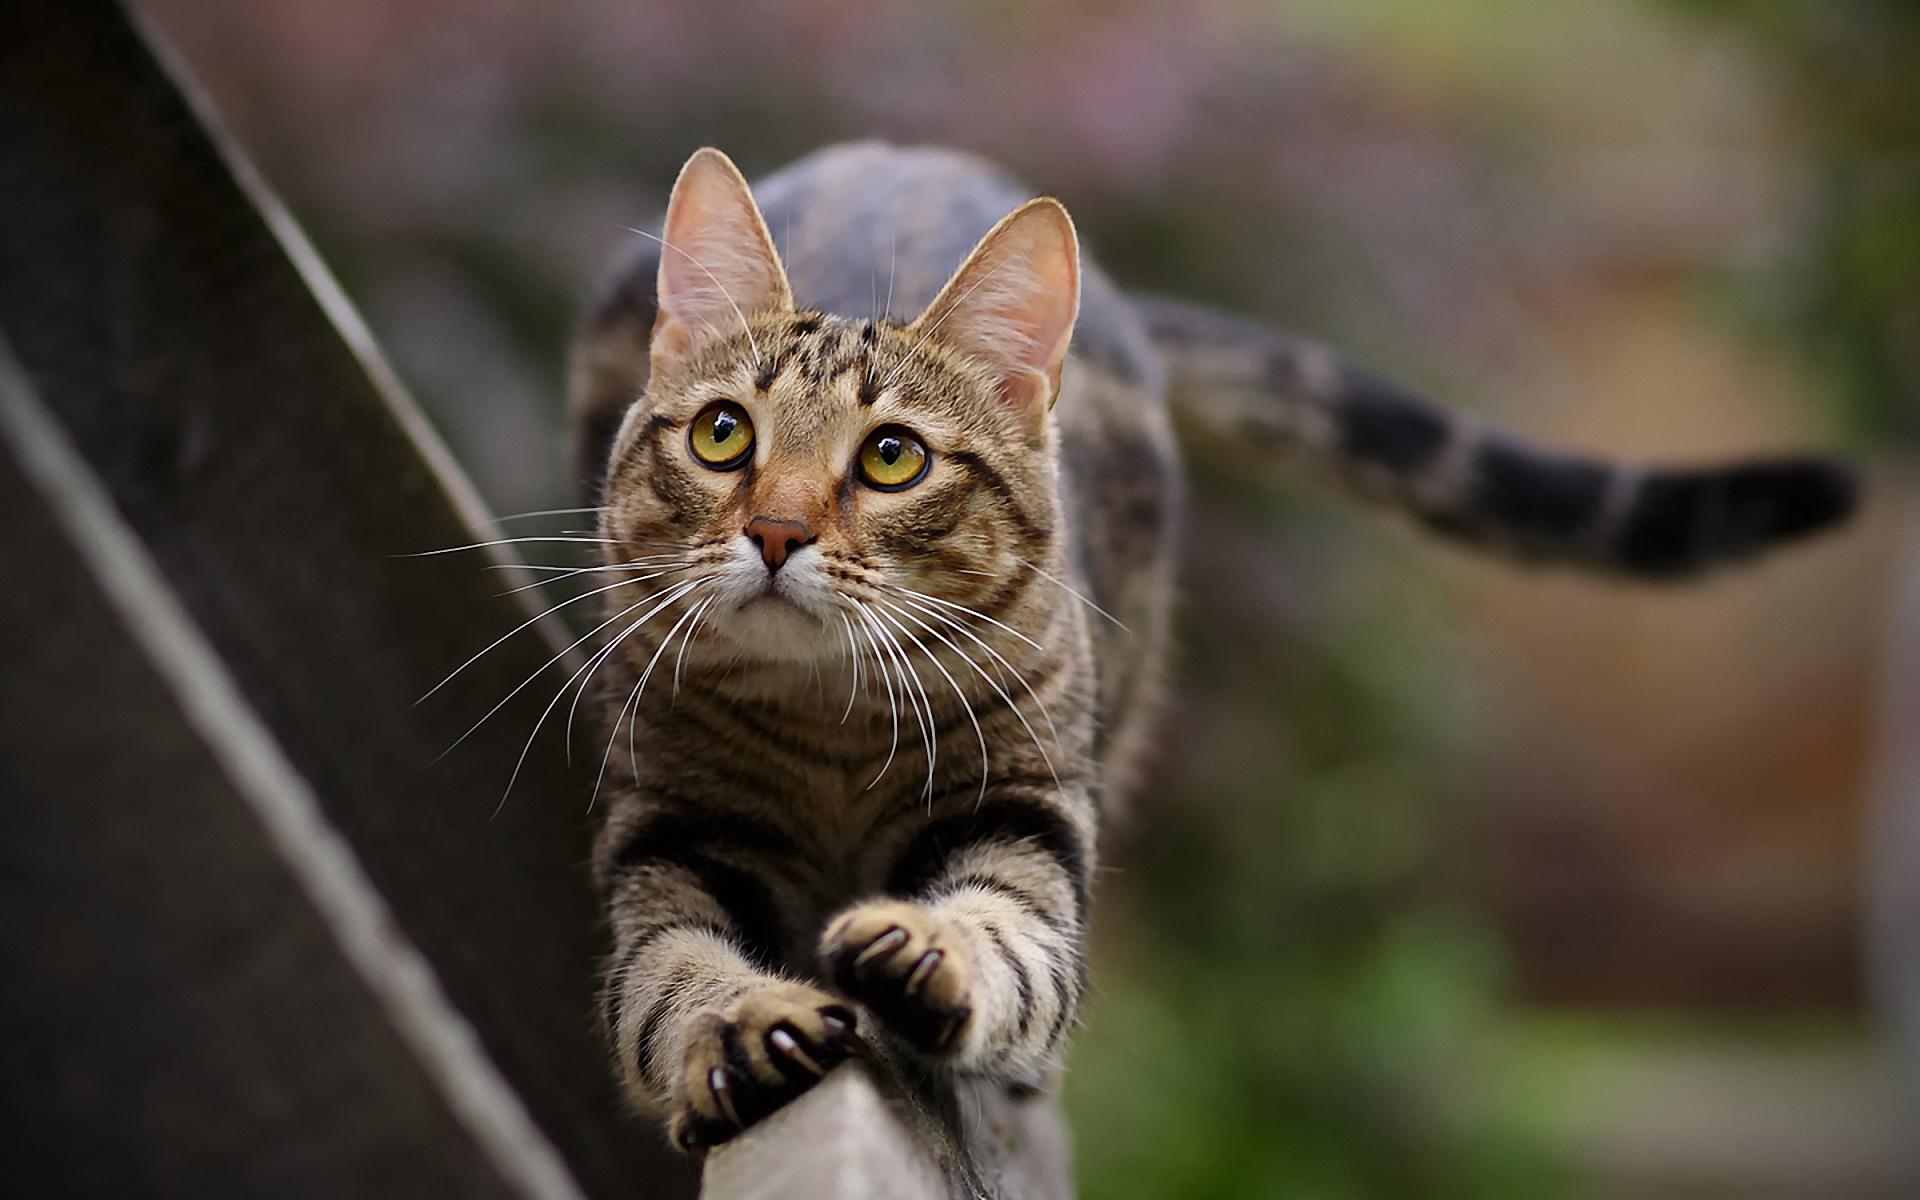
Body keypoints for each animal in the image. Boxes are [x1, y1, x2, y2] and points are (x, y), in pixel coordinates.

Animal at [560, 140, 1850, 1152]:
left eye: (891, 458)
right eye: (724, 435)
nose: (777, 532)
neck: (828, 726)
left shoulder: (1027, 807)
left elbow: (1017, 933)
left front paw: (937, 956)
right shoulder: (667, 828)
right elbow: (663, 968)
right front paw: (740, 1024)